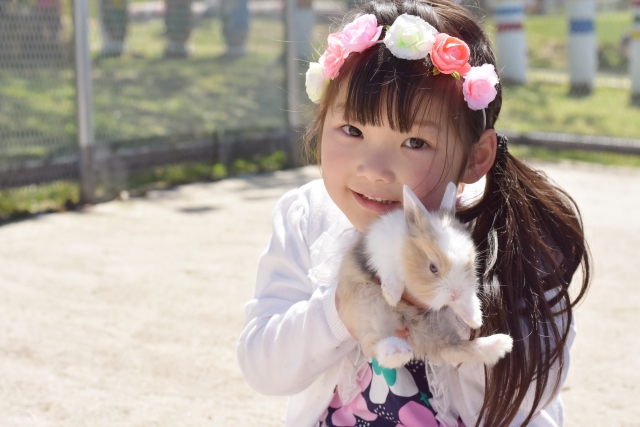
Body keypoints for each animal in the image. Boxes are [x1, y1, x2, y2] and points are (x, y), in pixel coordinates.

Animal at [338, 182, 512, 370]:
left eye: (470, 264)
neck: (405, 251)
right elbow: (389, 270)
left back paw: (500, 344)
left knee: (451, 348)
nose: (455, 294)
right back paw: (397, 350)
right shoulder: (377, 251)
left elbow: (467, 301)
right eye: (433, 268)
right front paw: (392, 296)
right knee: (375, 344)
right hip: (370, 310)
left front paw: (474, 319)